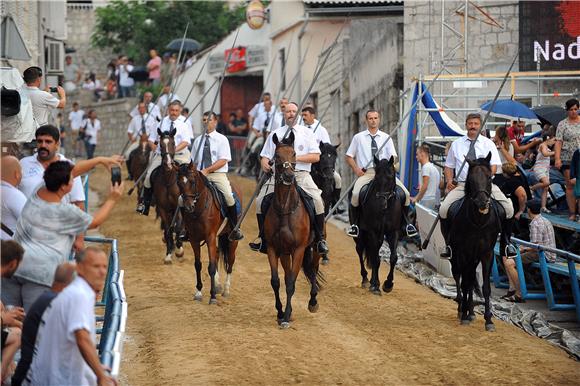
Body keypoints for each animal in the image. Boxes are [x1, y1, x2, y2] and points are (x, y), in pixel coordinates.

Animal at [150, 128, 184, 264]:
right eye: (160, 145)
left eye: (173, 143)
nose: (168, 164)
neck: (169, 181)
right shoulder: (163, 209)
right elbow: (168, 229)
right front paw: (169, 254)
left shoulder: (178, 208)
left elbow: (178, 227)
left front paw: (180, 250)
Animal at [177, 161, 240, 304]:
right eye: (179, 183)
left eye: (192, 181)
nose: (188, 206)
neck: (198, 210)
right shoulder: (194, 239)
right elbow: (198, 265)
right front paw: (199, 292)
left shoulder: (210, 237)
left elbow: (211, 266)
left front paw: (212, 297)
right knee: (216, 254)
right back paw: (217, 285)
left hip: (231, 239)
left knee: (230, 261)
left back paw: (226, 290)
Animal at [266, 133, 324, 328]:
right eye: (276, 156)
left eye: (294, 153)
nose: (289, 175)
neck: (285, 209)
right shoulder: (273, 248)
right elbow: (276, 281)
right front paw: (280, 312)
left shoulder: (299, 249)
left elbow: (291, 283)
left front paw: (285, 317)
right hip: (285, 252)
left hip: (314, 249)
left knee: (313, 270)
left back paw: (313, 302)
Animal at [356, 155, 402, 294]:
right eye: (376, 177)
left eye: (391, 176)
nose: (382, 203)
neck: (385, 211)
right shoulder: (372, 231)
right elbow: (375, 258)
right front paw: (375, 286)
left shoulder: (393, 231)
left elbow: (393, 257)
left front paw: (388, 284)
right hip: (360, 233)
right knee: (360, 250)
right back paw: (366, 279)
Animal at [448, 152, 498, 330]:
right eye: (471, 179)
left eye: (489, 177)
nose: (482, 203)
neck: (479, 222)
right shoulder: (463, 252)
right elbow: (465, 282)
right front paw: (463, 314)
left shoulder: (486, 253)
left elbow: (486, 287)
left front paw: (488, 320)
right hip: (455, 255)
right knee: (459, 276)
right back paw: (462, 309)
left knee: (469, 279)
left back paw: (470, 312)